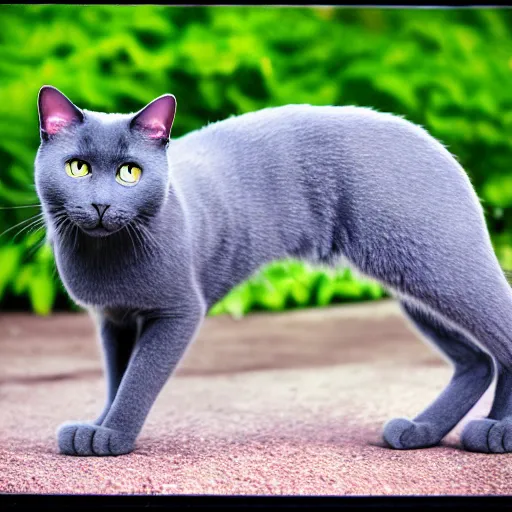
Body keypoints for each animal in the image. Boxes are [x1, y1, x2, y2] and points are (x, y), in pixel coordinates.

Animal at [35, 85, 512, 456]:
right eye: (77, 167)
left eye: (129, 173)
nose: (100, 204)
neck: (104, 255)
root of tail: (435, 143)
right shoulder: (115, 318)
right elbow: (117, 375)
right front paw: (96, 425)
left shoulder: (178, 312)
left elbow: (138, 378)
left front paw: (112, 435)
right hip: (413, 283)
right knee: (476, 362)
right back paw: (419, 431)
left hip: (439, 265)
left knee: (500, 333)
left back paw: (497, 432)